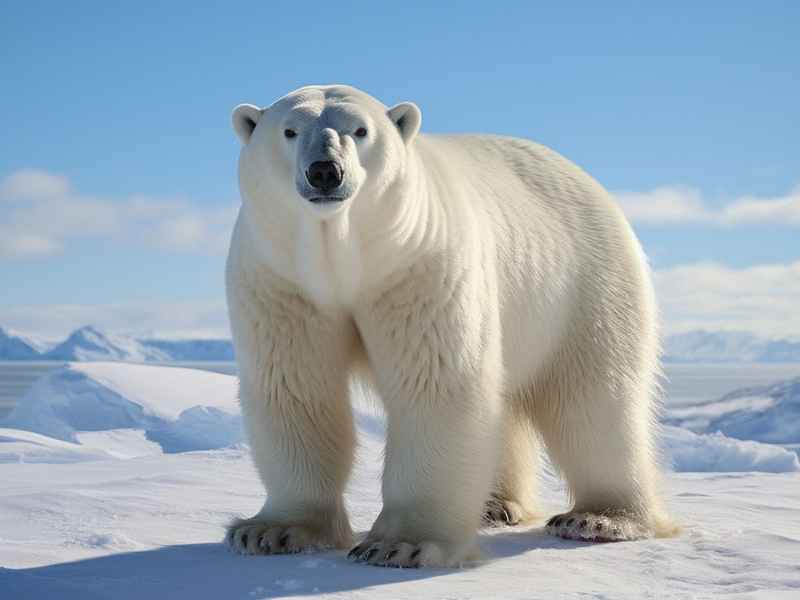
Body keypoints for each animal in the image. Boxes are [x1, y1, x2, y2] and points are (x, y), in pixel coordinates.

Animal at [224, 84, 675, 568]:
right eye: (289, 130)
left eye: (360, 130)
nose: (325, 171)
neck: (344, 257)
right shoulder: (282, 282)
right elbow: (295, 387)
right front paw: (272, 530)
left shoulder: (421, 266)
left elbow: (435, 383)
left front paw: (401, 543)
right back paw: (496, 505)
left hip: (584, 285)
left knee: (595, 400)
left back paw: (598, 519)